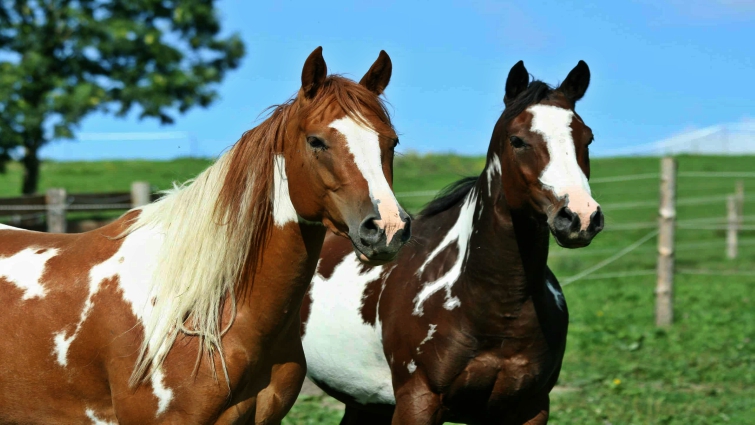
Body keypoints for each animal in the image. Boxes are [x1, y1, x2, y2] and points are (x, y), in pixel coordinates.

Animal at [301, 60, 603, 424]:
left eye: (587, 138)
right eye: (518, 140)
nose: (580, 217)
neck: (496, 308)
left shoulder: (531, 407)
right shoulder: (418, 401)